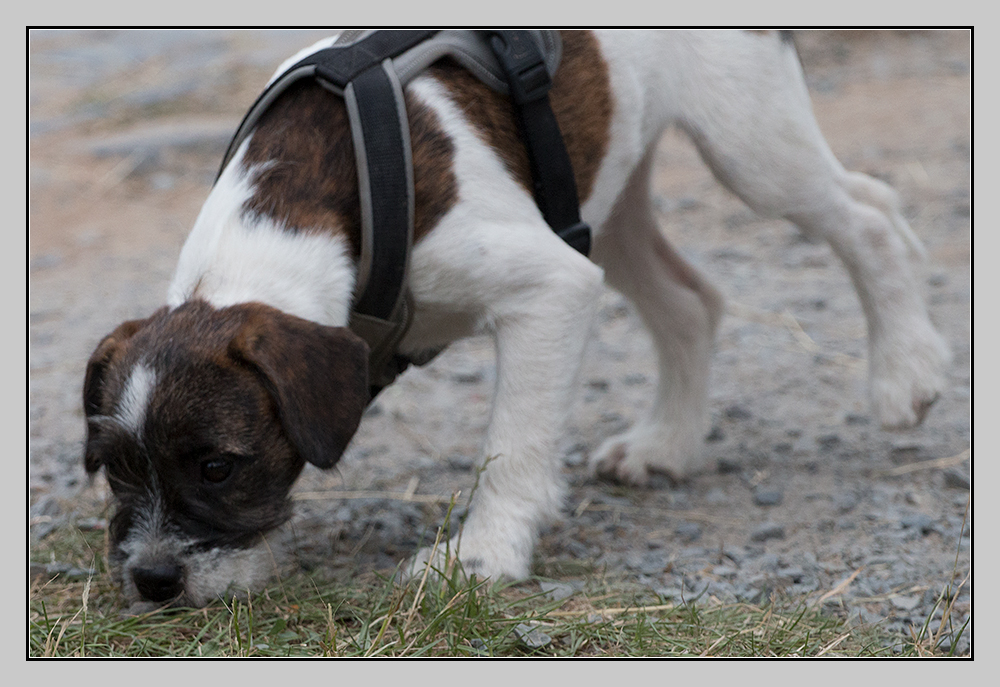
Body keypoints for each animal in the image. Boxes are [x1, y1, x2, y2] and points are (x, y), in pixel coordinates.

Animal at [84, 30, 944, 612]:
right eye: (117, 468)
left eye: (217, 466)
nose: (153, 579)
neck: (312, 198)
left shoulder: (551, 287)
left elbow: (513, 445)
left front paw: (482, 554)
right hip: (606, 200)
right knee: (690, 301)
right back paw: (666, 442)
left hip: (752, 145)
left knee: (870, 214)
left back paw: (905, 372)